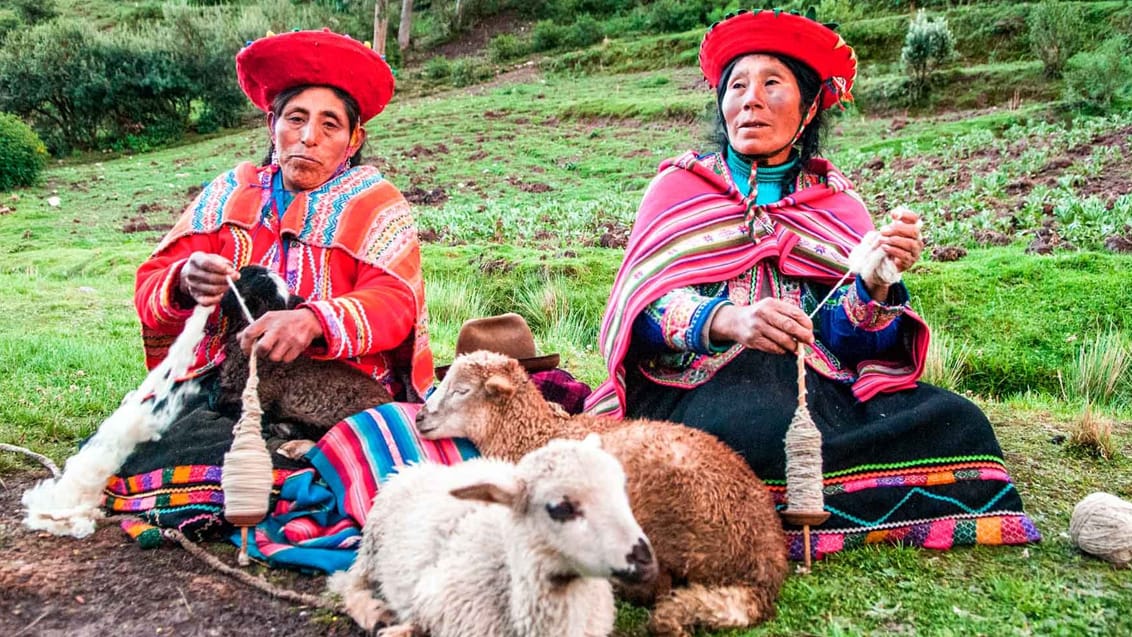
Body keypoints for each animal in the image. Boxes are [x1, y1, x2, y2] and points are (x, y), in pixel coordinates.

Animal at [326, 436, 656, 633]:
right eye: (560, 508)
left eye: (621, 489)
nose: (646, 561)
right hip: (372, 545)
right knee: (347, 583)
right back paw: (373, 611)